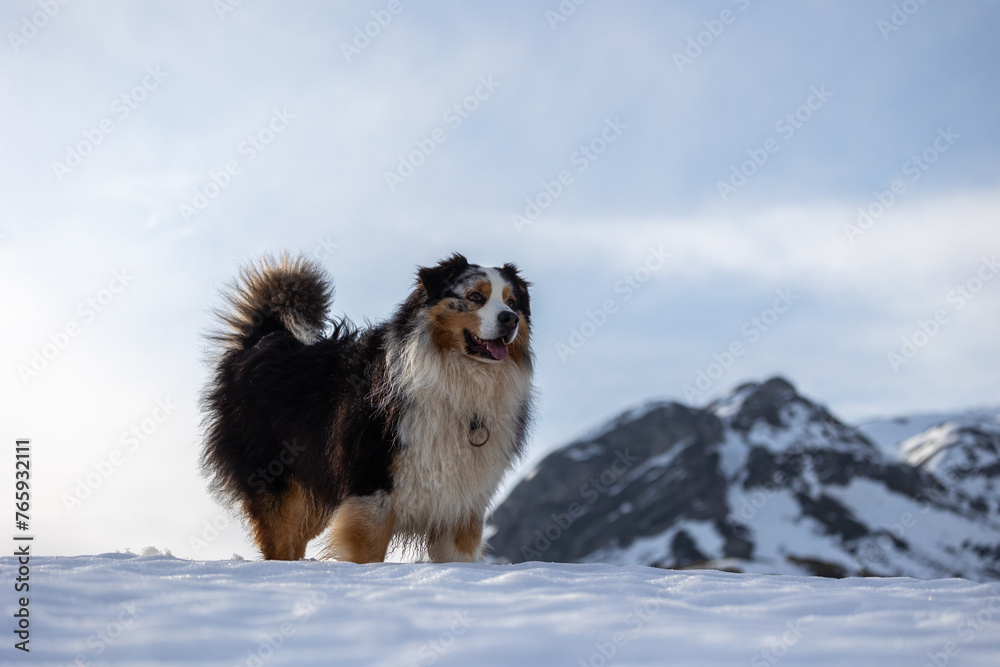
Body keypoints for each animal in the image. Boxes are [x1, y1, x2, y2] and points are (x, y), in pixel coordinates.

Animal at [198, 253, 536, 560]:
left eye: (512, 302)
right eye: (475, 297)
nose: (510, 319)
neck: (457, 381)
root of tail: (263, 339)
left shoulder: (461, 508)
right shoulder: (371, 493)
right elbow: (366, 555)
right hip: (277, 482)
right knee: (280, 545)